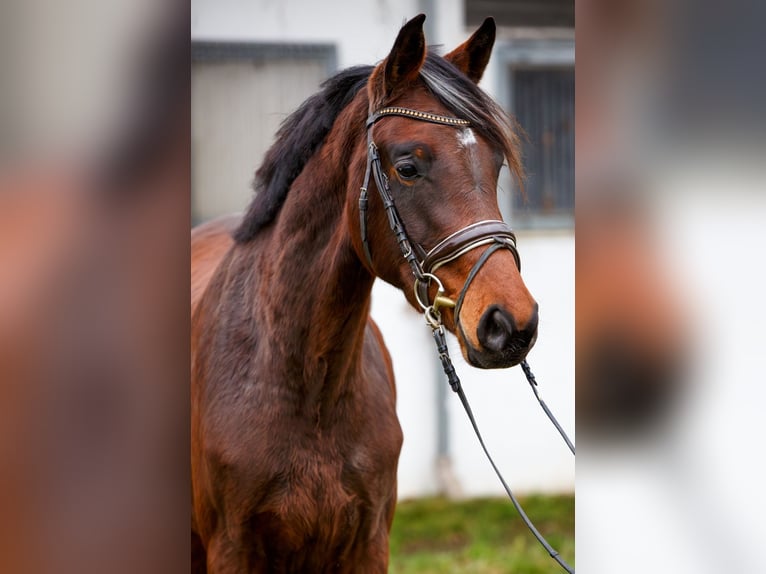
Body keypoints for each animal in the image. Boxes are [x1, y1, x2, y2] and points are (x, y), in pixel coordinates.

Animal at [192, 14, 540, 574]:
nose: (512, 324)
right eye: (408, 167)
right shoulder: (231, 548)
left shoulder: (369, 542)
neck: (307, 388)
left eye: (495, 166)